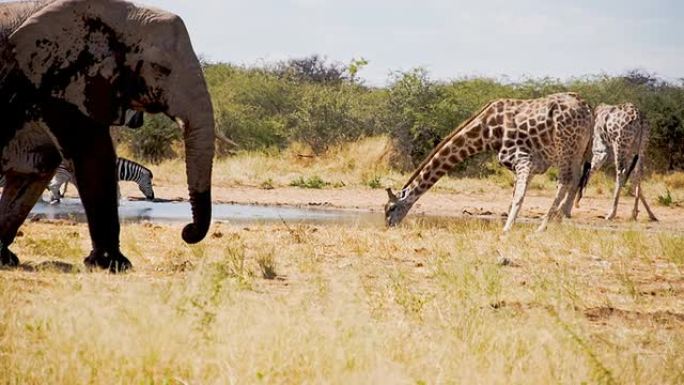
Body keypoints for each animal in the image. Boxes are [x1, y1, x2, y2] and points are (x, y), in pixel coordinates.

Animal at [0, 0, 214, 270]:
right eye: (161, 69)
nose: (187, 231)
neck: (122, 13)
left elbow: (36, 170)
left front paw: (5, 258)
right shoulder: (60, 82)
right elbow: (93, 157)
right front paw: (113, 264)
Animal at [384, 92, 592, 231]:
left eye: (391, 208)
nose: (388, 225)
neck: (488, 133)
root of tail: (586, 107)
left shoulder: (523, 159)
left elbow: (519, 196)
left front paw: (506, 230)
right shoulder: (528, 165)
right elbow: (514, 197)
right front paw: (507, 225)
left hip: (566, 147)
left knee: (565, 180)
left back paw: (543, 226)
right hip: (577, 151)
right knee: (575, 180)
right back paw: (559, 219)